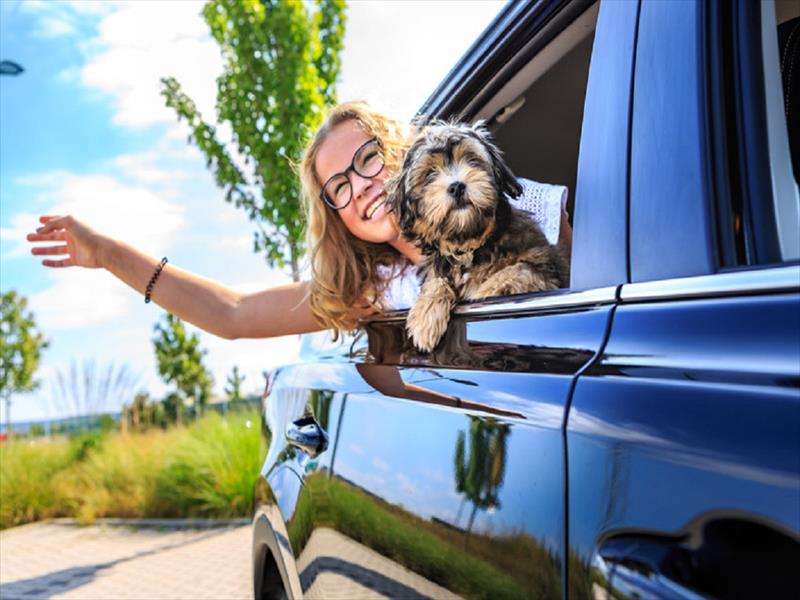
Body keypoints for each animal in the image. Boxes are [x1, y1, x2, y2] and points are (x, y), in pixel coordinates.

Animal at [388, 123, 568, 352]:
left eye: (472, 160)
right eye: (430, 174)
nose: (456, 186)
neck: (469, 245)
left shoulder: (548, 270)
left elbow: (518, 270)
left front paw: (486, 291)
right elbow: (437, 280)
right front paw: (425, 314)